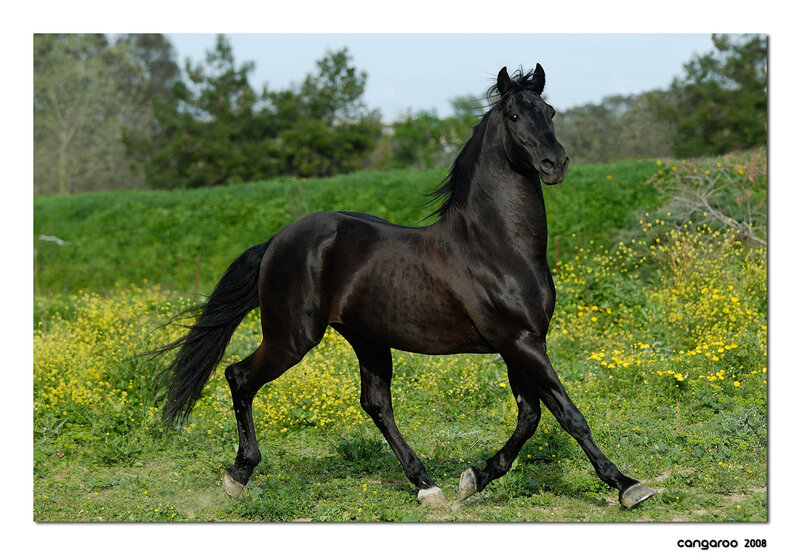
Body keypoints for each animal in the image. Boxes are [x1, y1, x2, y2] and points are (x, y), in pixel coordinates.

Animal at [149, 64, 656, 510]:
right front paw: (628, 486)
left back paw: (427, 486)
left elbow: (530, 417)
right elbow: (569, 414)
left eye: (549, 110)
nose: (556, 163)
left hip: (367, 338)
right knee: (240, 377)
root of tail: (277, 240)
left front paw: (474, 479)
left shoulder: (522, 343)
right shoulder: (521, 342)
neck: (495, 246)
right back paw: (238, 475)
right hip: (292, 337)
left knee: (376, 404)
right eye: (515, 116)